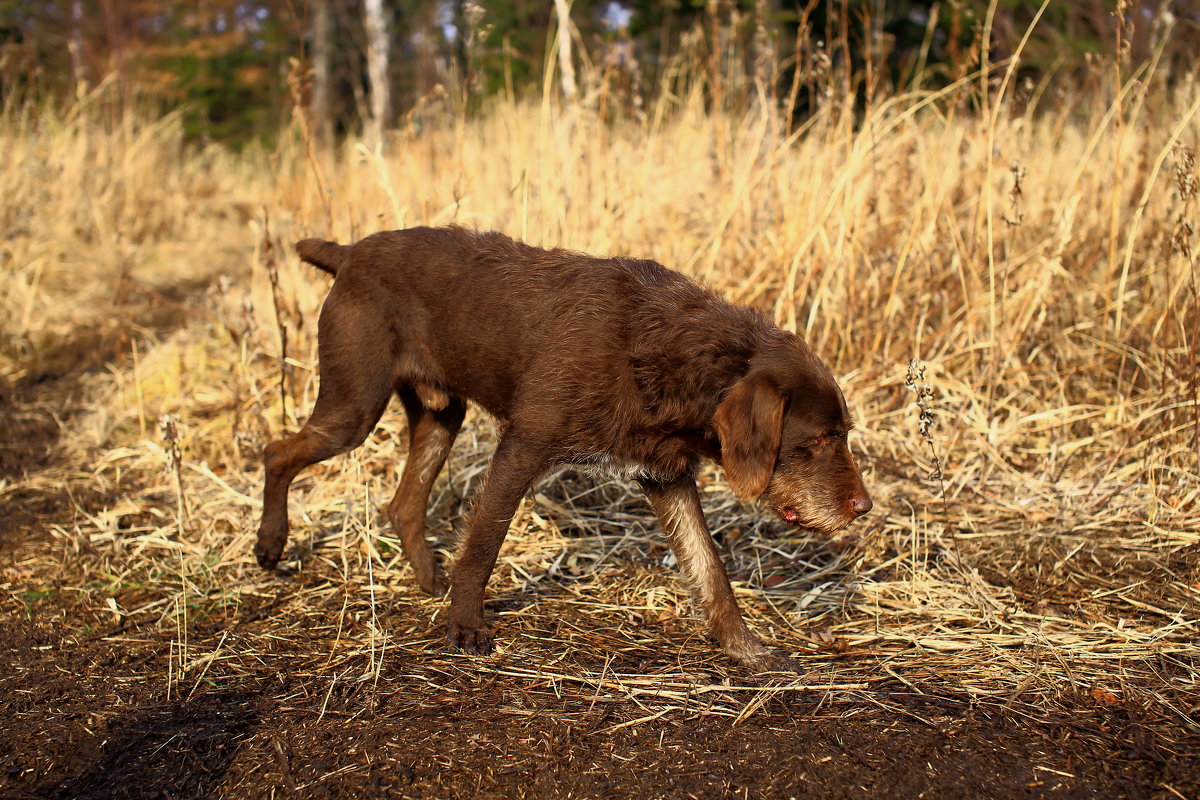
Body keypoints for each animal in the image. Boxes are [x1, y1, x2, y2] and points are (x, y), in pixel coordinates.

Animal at [255, 225, 873, 671]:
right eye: (819, 439)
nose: (864, 508)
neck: (665, 351)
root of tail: (349, 253)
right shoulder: (523, 446)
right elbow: (483, 546)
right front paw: (466, 627)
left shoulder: (666, 476)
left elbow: (710, 570)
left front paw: (748, 650)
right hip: (353, 406)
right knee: (277, 453)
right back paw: (270, 545)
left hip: (440, 414)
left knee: (403, 502)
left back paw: (429, 579)